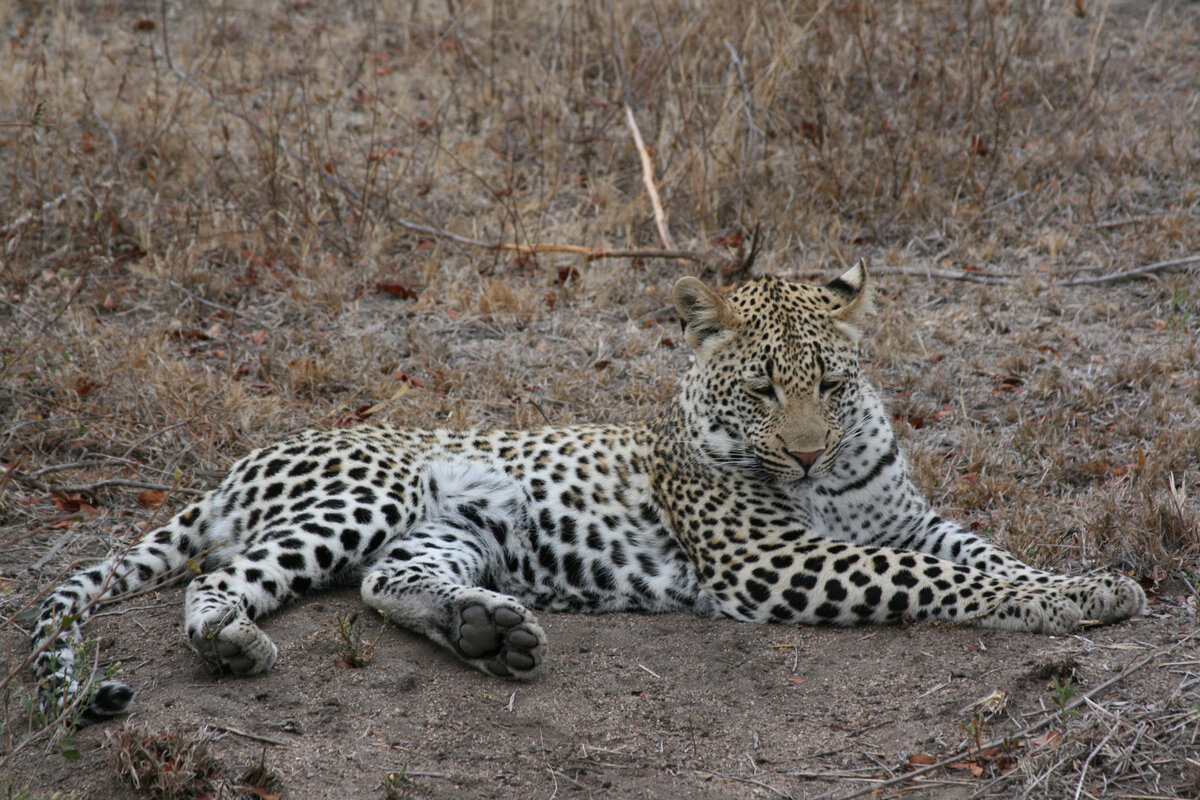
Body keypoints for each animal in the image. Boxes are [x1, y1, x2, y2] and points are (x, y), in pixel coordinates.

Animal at [28, 262, 1142, 719]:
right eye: (762, 387)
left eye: (830, 382)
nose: (808, 453)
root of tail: (238, 464)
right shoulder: (777, 560)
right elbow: (933, 578)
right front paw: (1065, 601)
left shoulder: (907, 515)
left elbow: (977, 552)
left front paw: (1087, 582)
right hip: (365, 496)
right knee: (217, 582)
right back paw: (232, 642)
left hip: (450, 533)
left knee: (387, 584)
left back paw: (490, 630)